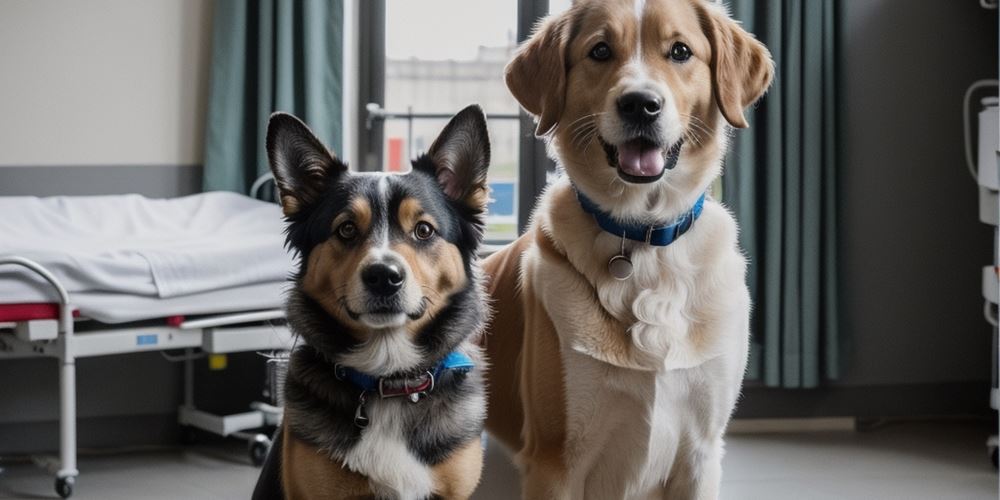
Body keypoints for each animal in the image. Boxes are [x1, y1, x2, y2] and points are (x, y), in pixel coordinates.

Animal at [484, 1, 772, 498]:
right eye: (600, 50)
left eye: (680, 51)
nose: (641, 103)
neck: (644, 237)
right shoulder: (555, 463)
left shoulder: (701, 454)